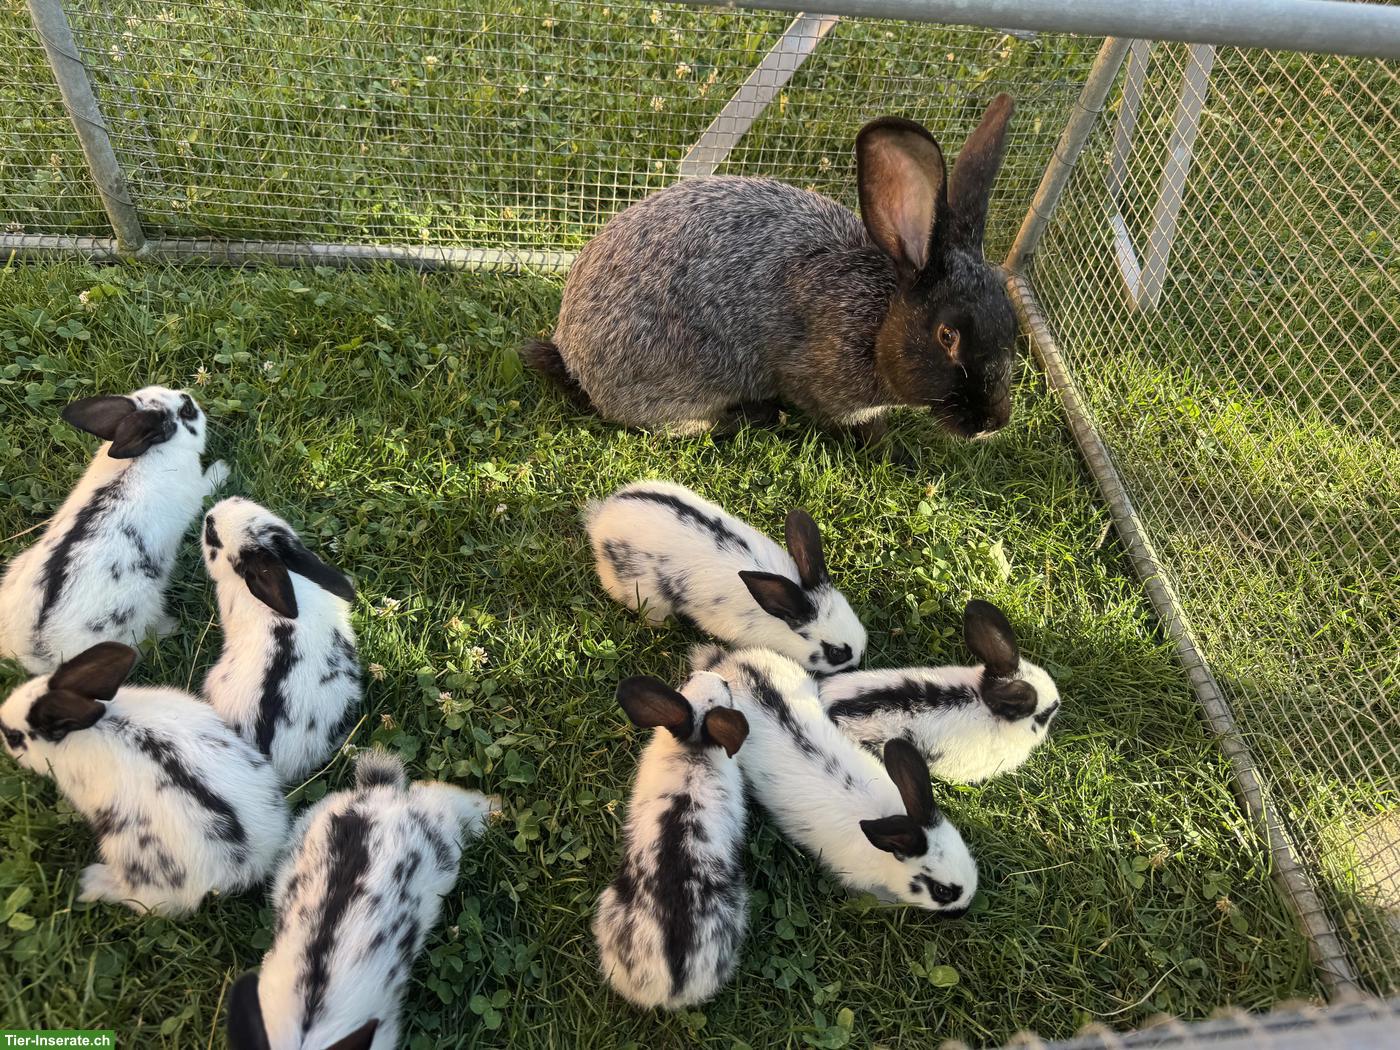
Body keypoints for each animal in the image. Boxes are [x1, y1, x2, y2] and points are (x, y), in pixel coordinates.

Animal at [0, 386, 229, 673]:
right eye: (186, 413)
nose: (188, 397)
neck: (149, 452)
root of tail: (42, 651)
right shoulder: (197, 490)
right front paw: (223, 468)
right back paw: (170, 626)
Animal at [524, 97, 1017, 444]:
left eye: (1011, 323)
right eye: (947, 336)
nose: (994, 421)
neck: (878, 317)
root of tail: (571, 355)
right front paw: (887, 449)